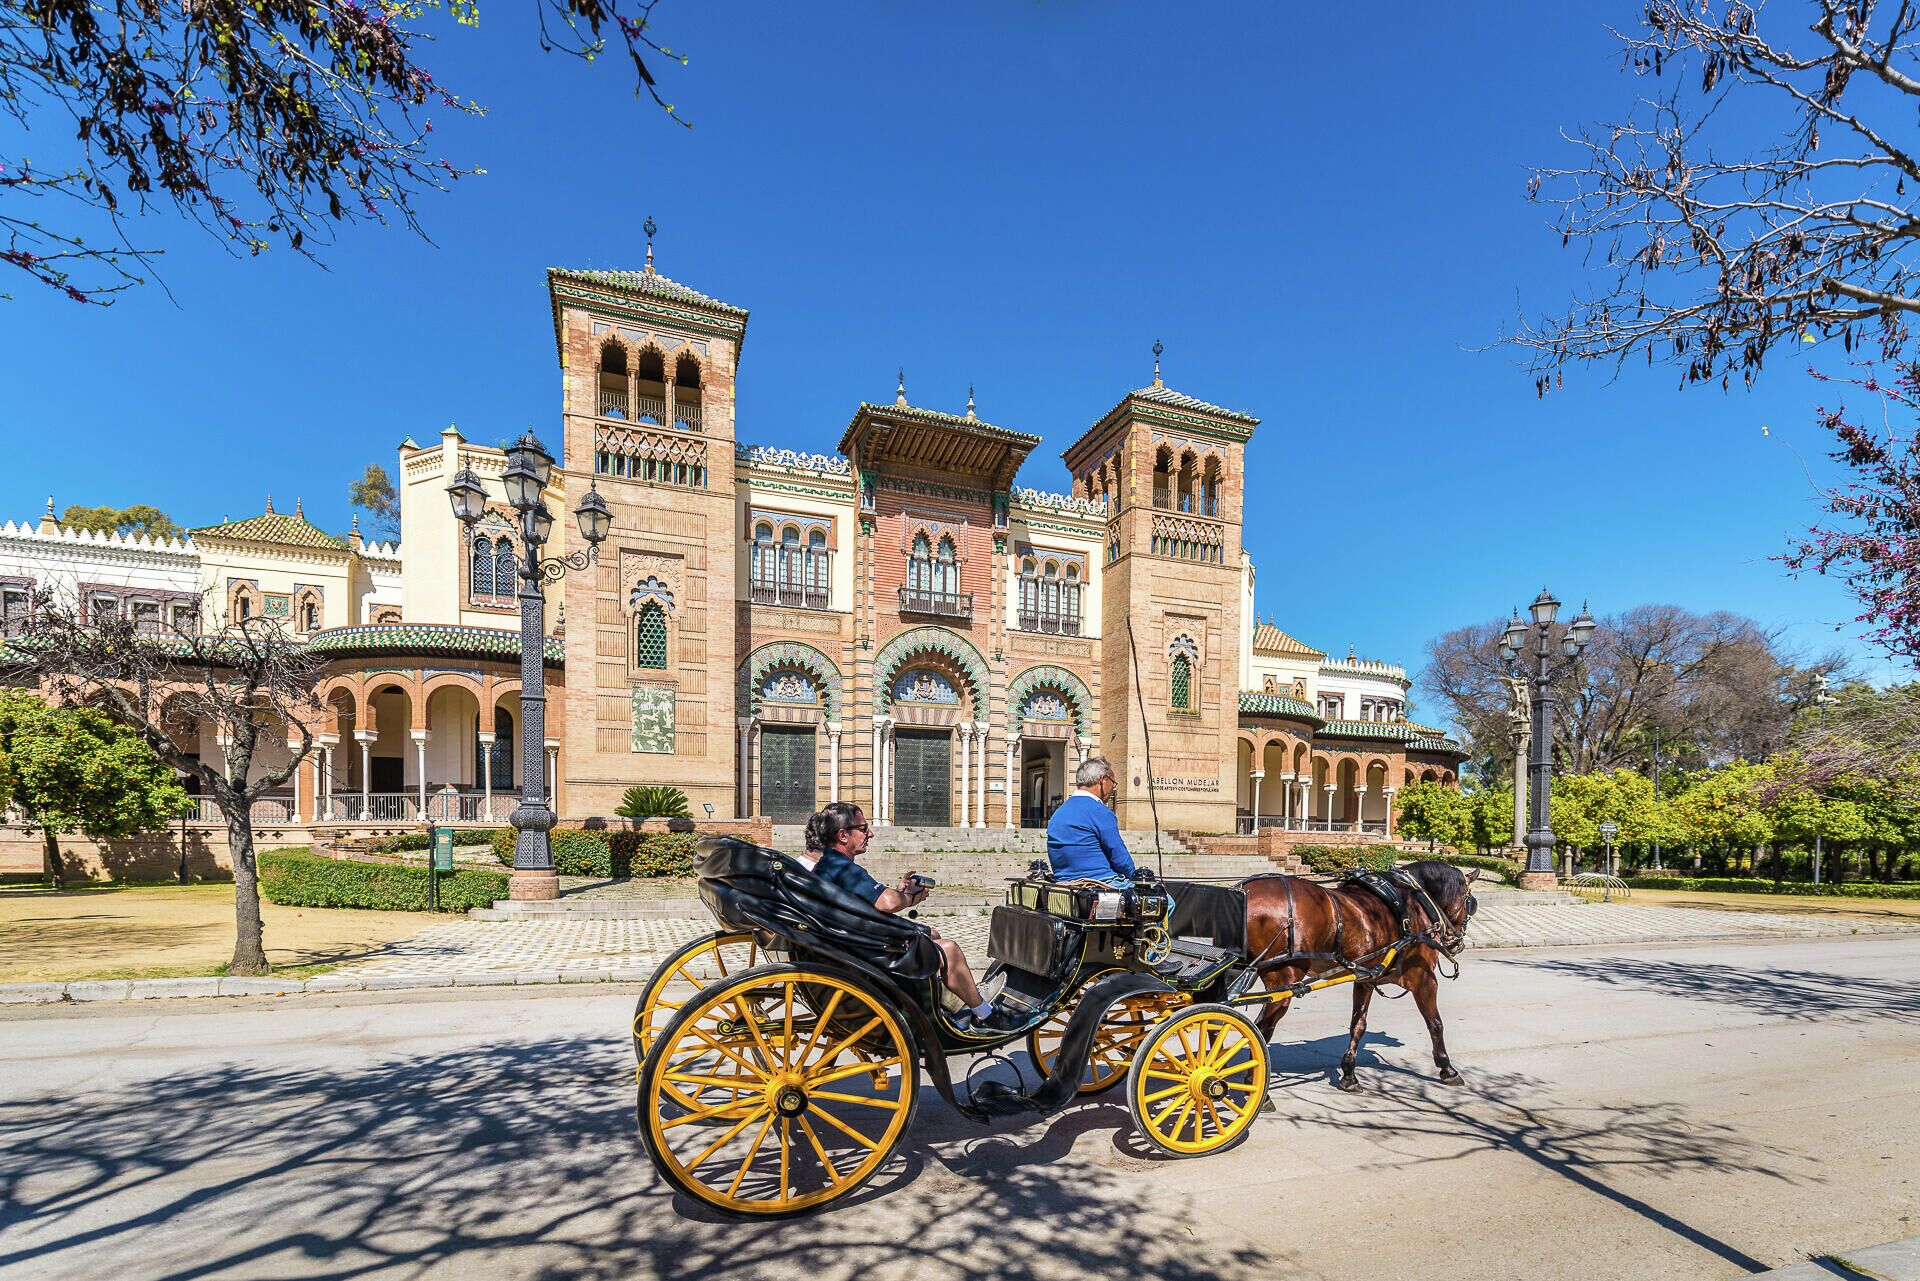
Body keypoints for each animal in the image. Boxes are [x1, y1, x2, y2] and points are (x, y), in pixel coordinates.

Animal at [1236, 860, 1474, 1090]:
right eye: (1468, 901)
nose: (1457, 942)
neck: (1414, 901)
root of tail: (1244, 890)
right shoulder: (1423, 978)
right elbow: (1435, 1023)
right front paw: (1447, 1068)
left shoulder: (1365, 979)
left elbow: (1358, 1024)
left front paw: (1349, 1074)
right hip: (1284, 979)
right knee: (1261, 1028)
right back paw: (1254, 1084)